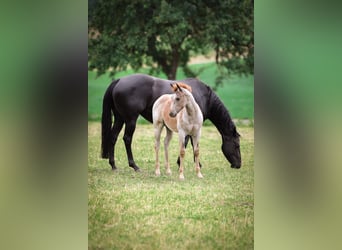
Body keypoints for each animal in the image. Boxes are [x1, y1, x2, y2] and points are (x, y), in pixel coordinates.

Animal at [101, 73, 240, 172]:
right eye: (237, 145)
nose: (238, 165)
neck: (204, 97)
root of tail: (119, 81)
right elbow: (187, 143)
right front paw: (185, 163)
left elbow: (190, 143)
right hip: (130, 120)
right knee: (127, 139)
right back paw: (134, 166)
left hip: (119, 118)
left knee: (113, 137)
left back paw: (113, 165)